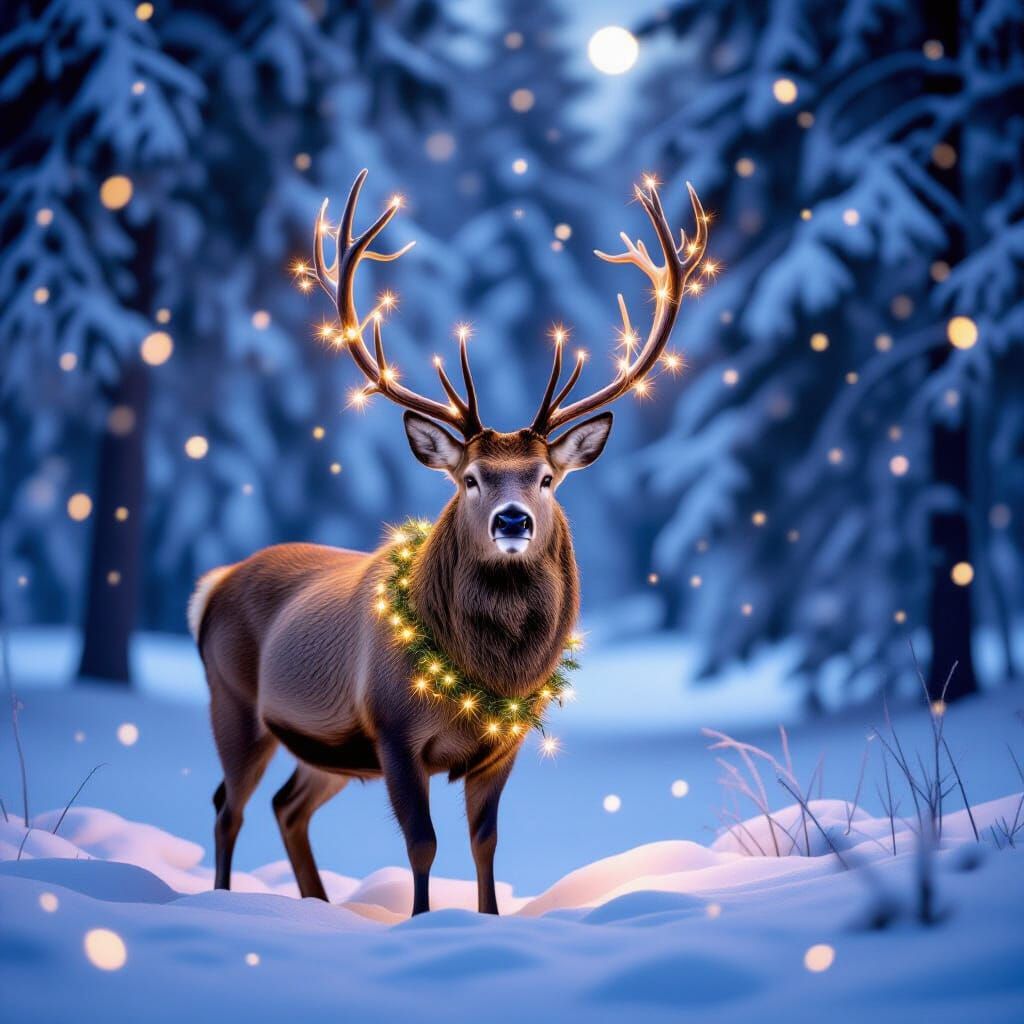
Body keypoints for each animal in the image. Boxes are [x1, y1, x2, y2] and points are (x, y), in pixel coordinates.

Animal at [188, 169, 708, 916]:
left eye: (546, 477)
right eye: (469, 478)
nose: (513, 521)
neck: (488, 674)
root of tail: (214, 586)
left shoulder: (503, 742)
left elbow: (484, 841)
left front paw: (487, 919)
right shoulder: (394, 730)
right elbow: (422, 843)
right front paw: (422, 923)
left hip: (325, 748)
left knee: (287, 805)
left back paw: (317, 906)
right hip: (232, 699)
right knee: (227, 805)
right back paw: (225, 900)